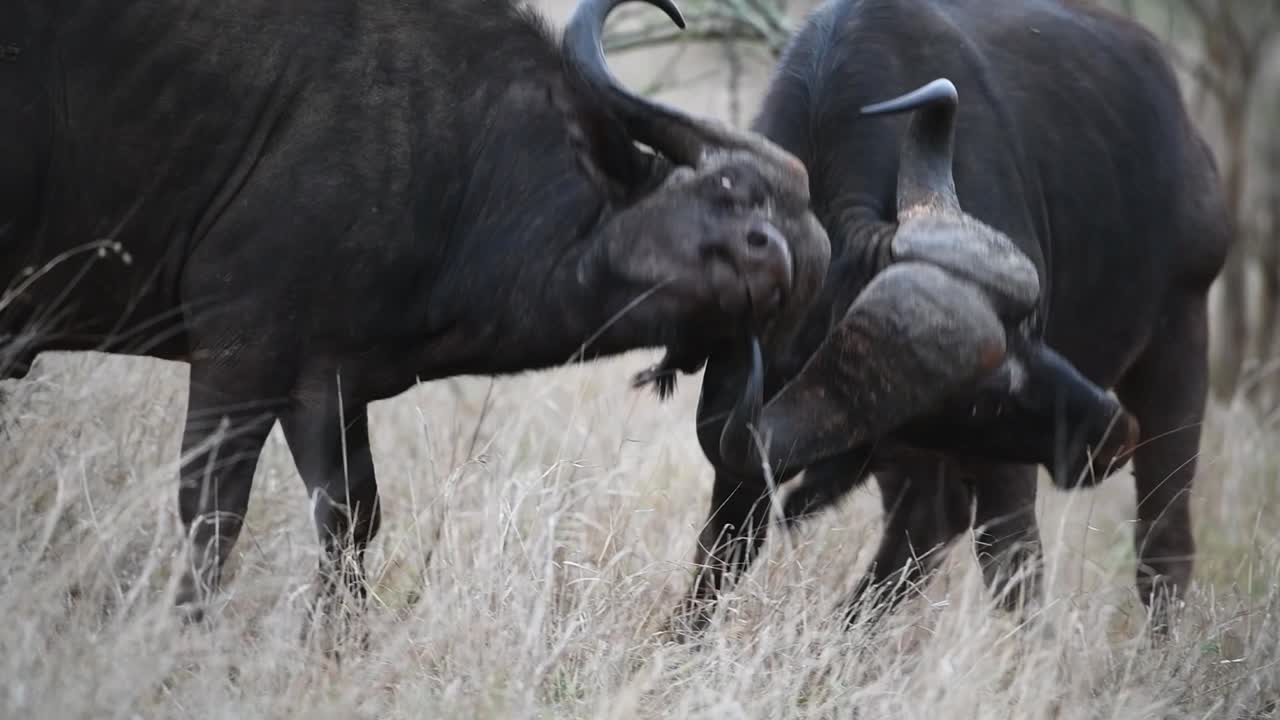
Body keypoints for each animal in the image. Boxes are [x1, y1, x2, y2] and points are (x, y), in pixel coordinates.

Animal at [0, 0, 834, 621]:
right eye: (724, 188)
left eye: (801, 243)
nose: (775, 254)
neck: (462, 165)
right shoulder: (240, 354)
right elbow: (213, 512)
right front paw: (188, 629)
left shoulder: (326, 385)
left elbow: (351, 518)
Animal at [658, 0, 1231, 633]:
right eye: (981, 397)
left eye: (1028, 329)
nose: (1111, 432)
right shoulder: (747, 440)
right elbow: (722, 551)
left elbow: (1012, 561)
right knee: (928, 525)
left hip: (1182, 338)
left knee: (1163, 540)